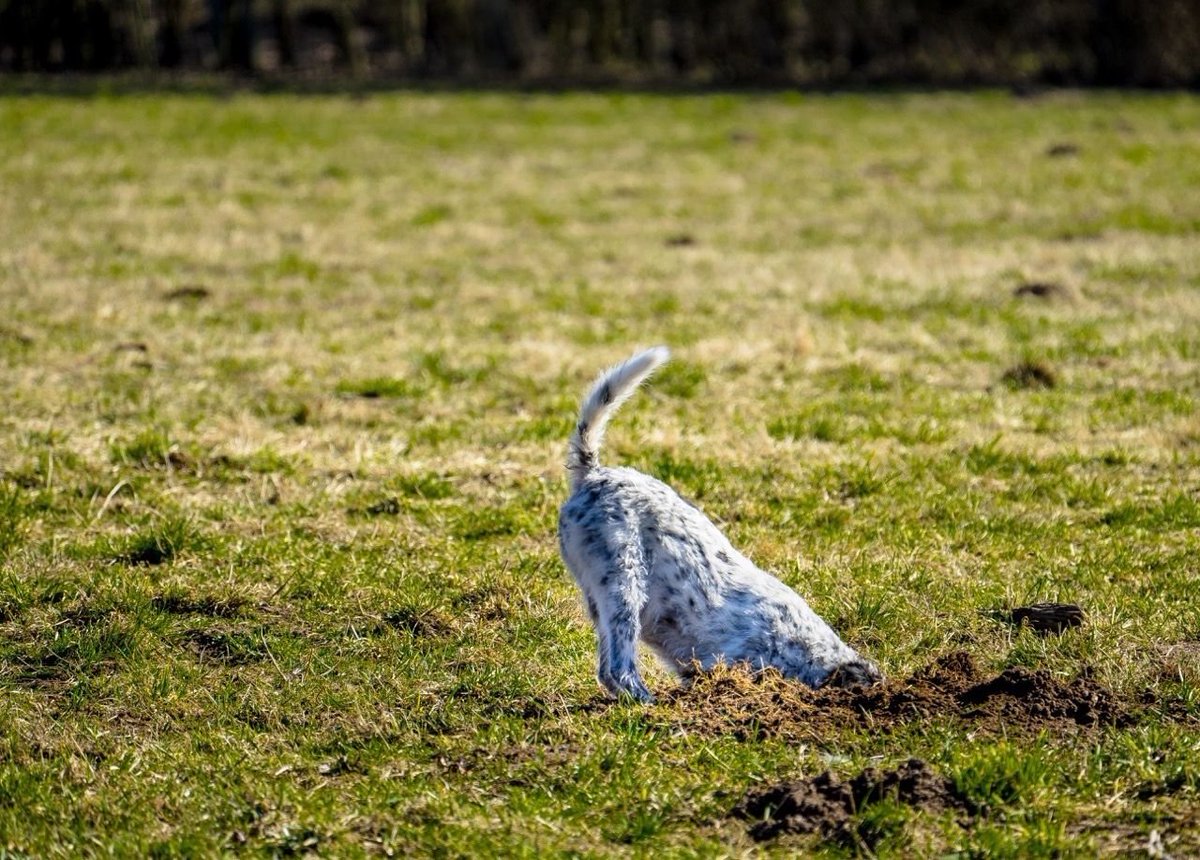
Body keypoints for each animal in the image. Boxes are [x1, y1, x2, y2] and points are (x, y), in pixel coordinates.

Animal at [554, 345, 883, 700]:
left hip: (600, 595)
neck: (807, 649)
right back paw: (647, 700)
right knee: (617, 668)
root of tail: (592, 473)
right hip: (624, 583)